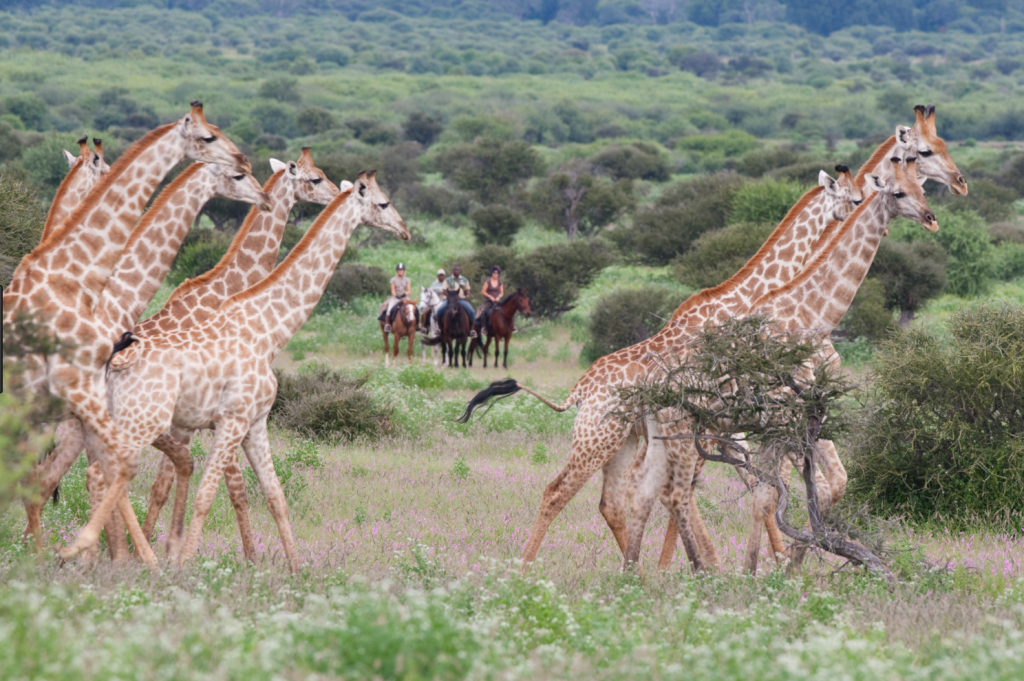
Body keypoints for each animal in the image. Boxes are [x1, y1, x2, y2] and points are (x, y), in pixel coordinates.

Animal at [88, 171, 407, 569]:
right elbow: (208, 494)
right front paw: (183, 564)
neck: (267, 330)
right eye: (383, 203)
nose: (404, 230)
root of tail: (113, 363)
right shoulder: (232, 420)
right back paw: (117, 557)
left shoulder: (255, 423)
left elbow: (274, 496)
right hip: (142, 421)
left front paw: (295, 570)